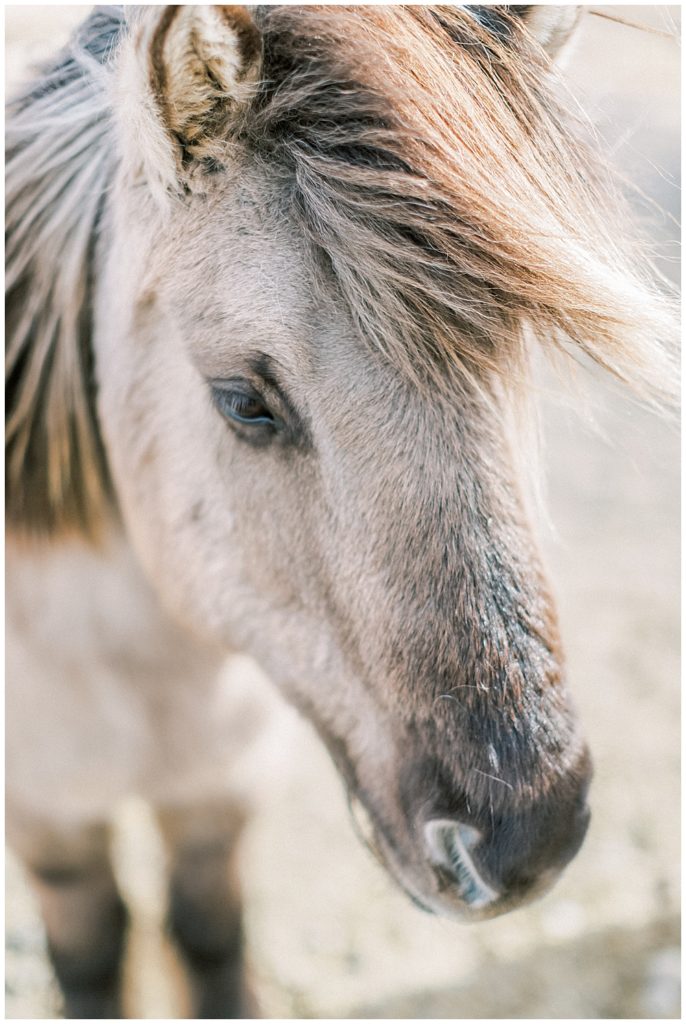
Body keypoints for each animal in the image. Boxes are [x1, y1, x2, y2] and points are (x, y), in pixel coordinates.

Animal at [5, 4, 675, 1019]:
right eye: (244, 401)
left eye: (516, 362)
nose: (524, 843)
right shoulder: (52, 825)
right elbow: (92, 958)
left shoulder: (223, 795)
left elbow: (211, 939)